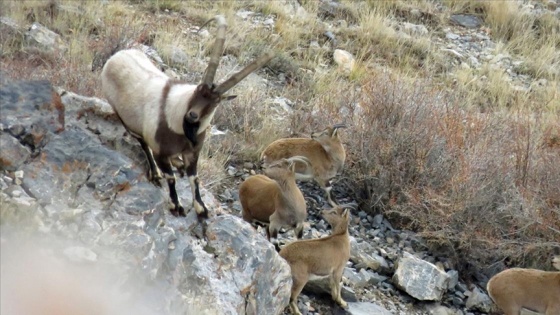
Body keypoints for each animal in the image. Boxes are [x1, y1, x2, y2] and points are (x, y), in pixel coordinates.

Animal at [102, 16, 276, 221]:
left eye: (216, 101)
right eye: (198, 89)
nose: (193, 115)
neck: (178, 127)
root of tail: (115, 57)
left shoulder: (193, 152)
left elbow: (195, 178)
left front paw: (201, 208)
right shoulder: (160, 150)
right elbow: (170, 177)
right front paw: (176, 206)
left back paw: (178, 164)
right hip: (125, 118)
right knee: (143, 144)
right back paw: (156, 174)